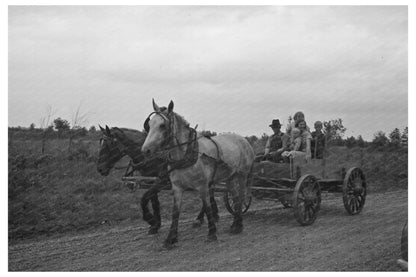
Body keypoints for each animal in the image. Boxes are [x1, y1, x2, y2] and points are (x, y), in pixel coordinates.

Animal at [141, 99, 255, 248]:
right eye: (149, 125)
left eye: (162, 125)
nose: (145, 150)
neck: (186, 154)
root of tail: (244, 140)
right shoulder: (177, 188)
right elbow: (175, 212)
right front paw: (170, 238)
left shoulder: (203, 186)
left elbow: (207, 207)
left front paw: (212, 233)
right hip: (230, 177)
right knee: (235, 198)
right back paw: (235, 225)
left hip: (242, 176)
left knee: (240, 197)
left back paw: (239, 225)